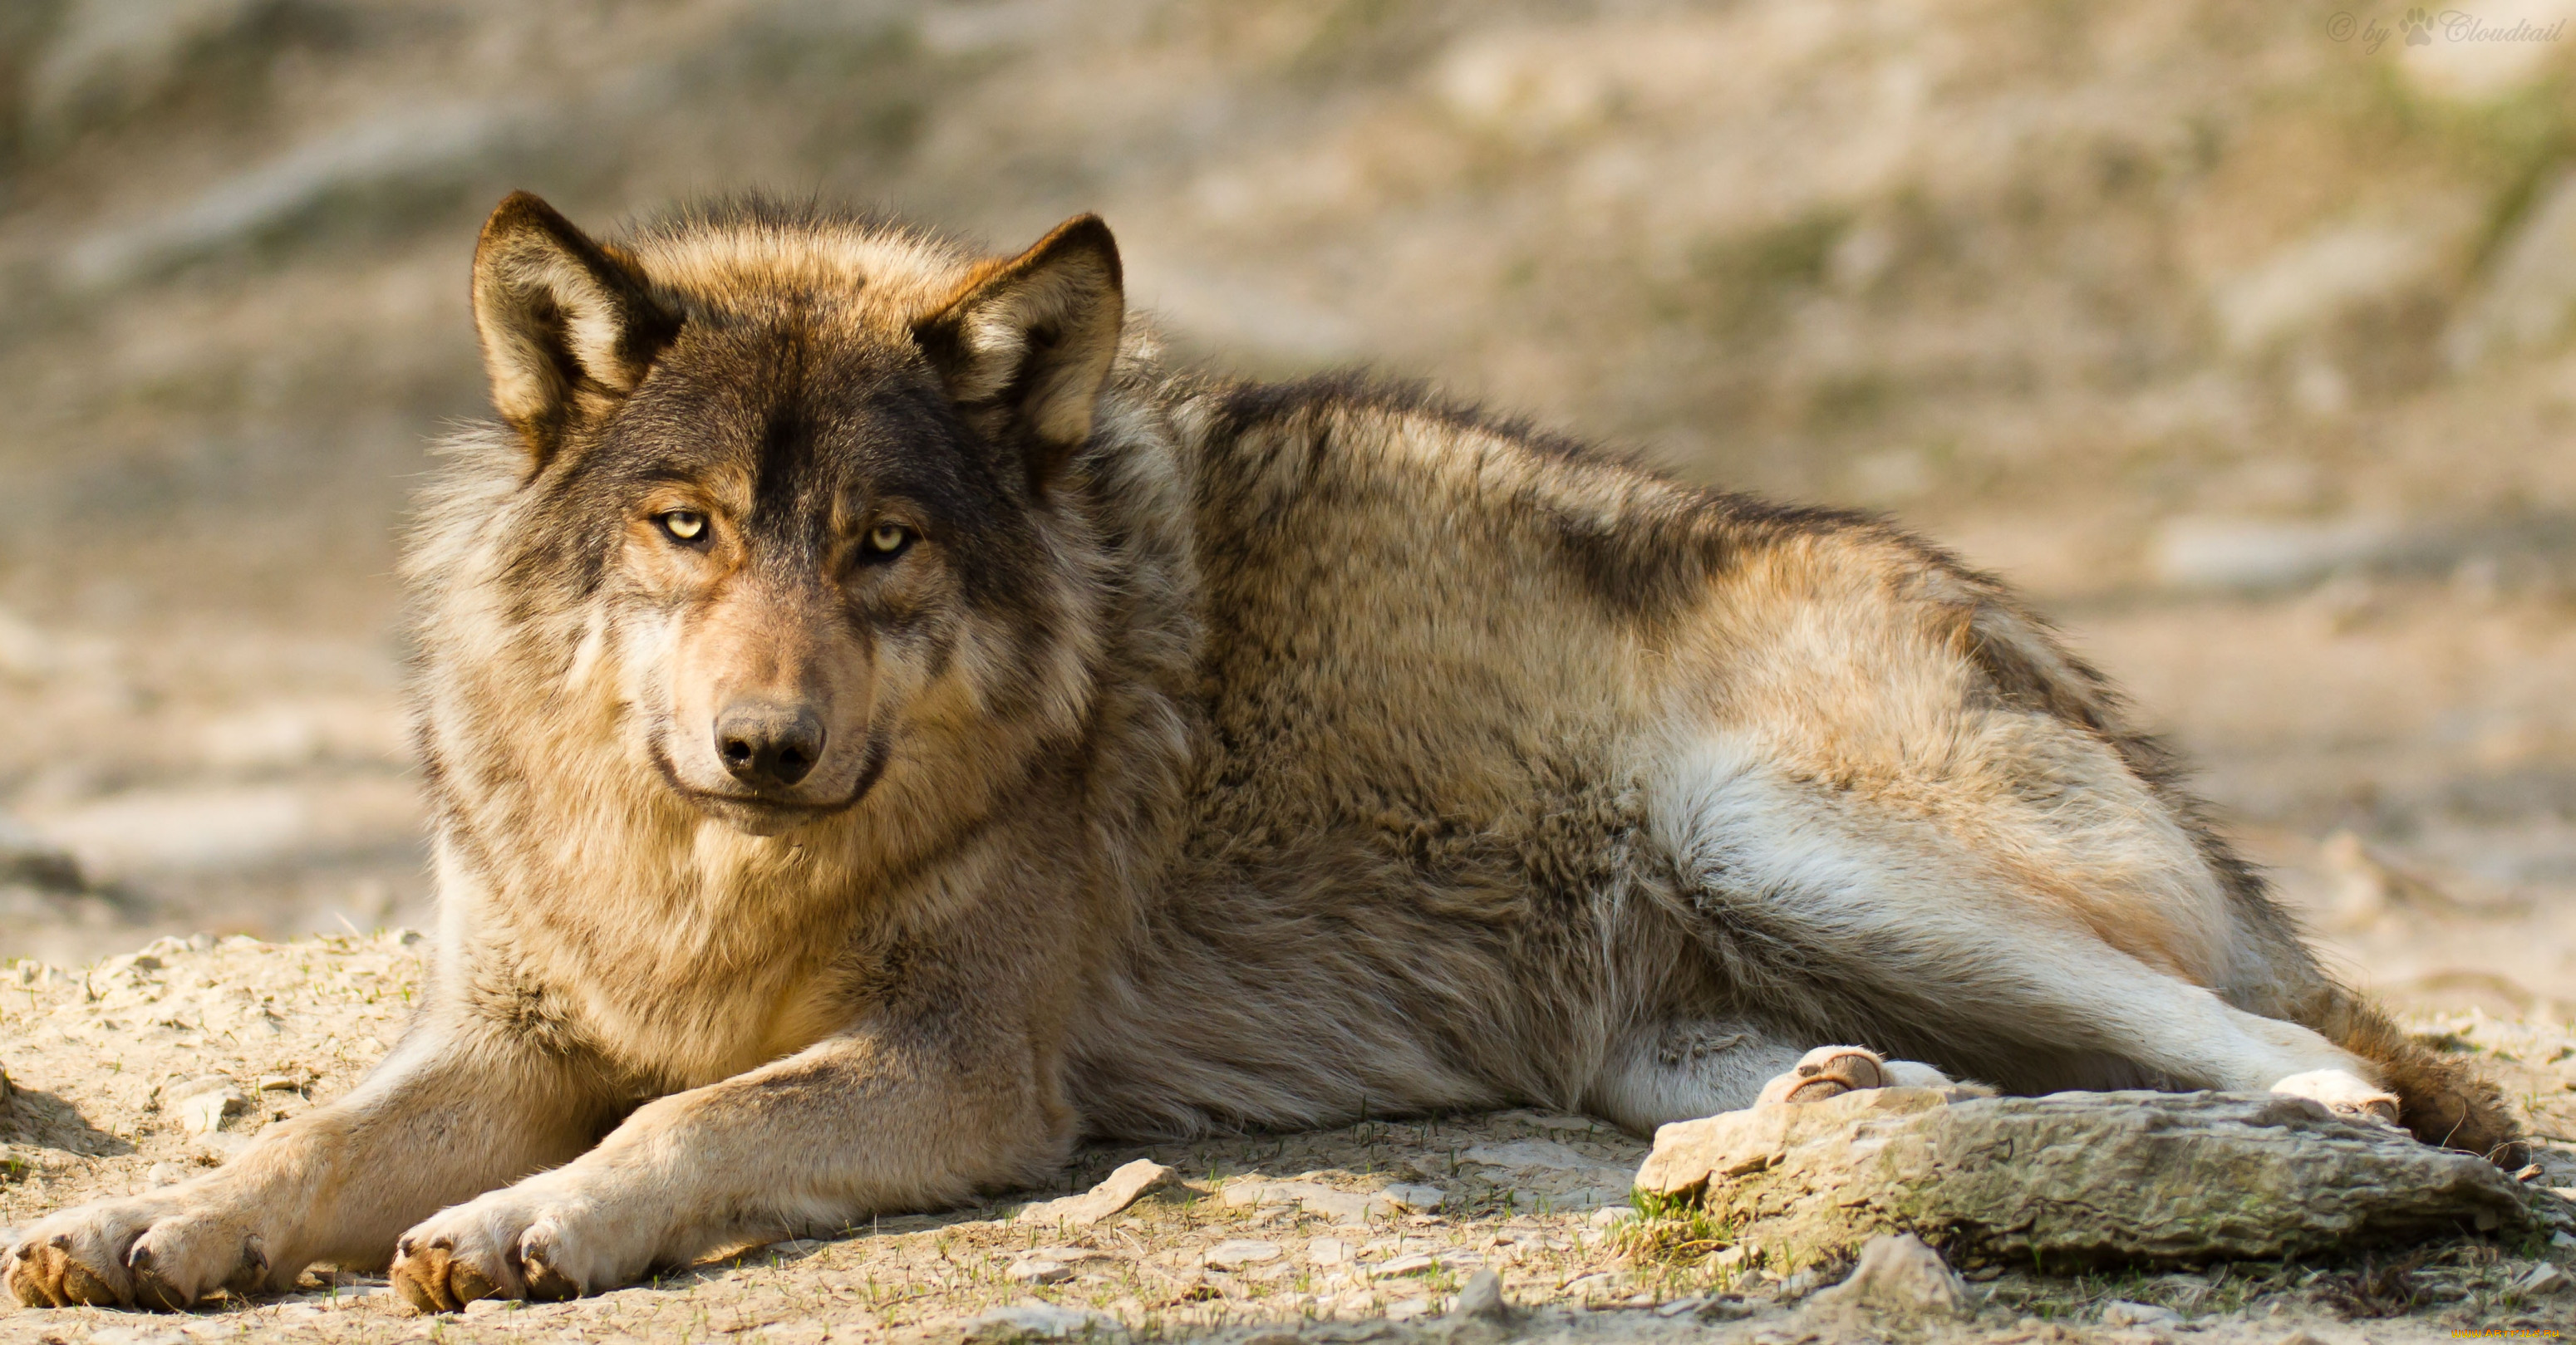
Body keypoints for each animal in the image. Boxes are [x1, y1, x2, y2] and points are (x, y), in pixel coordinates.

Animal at [0, 190, 2514, 1308]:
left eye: (884, 543)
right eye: (685, 524)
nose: (763, 741)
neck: (708, 880)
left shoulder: (958, 1070)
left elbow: (692, 1121)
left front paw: (525, 1223)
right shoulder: (505, 1024)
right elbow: (317, 1139)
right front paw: (145, 1221)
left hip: (1793, 836)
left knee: (2321, 1056)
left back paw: (2293, 1128)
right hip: (1658, 1016)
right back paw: (1827, 1114)